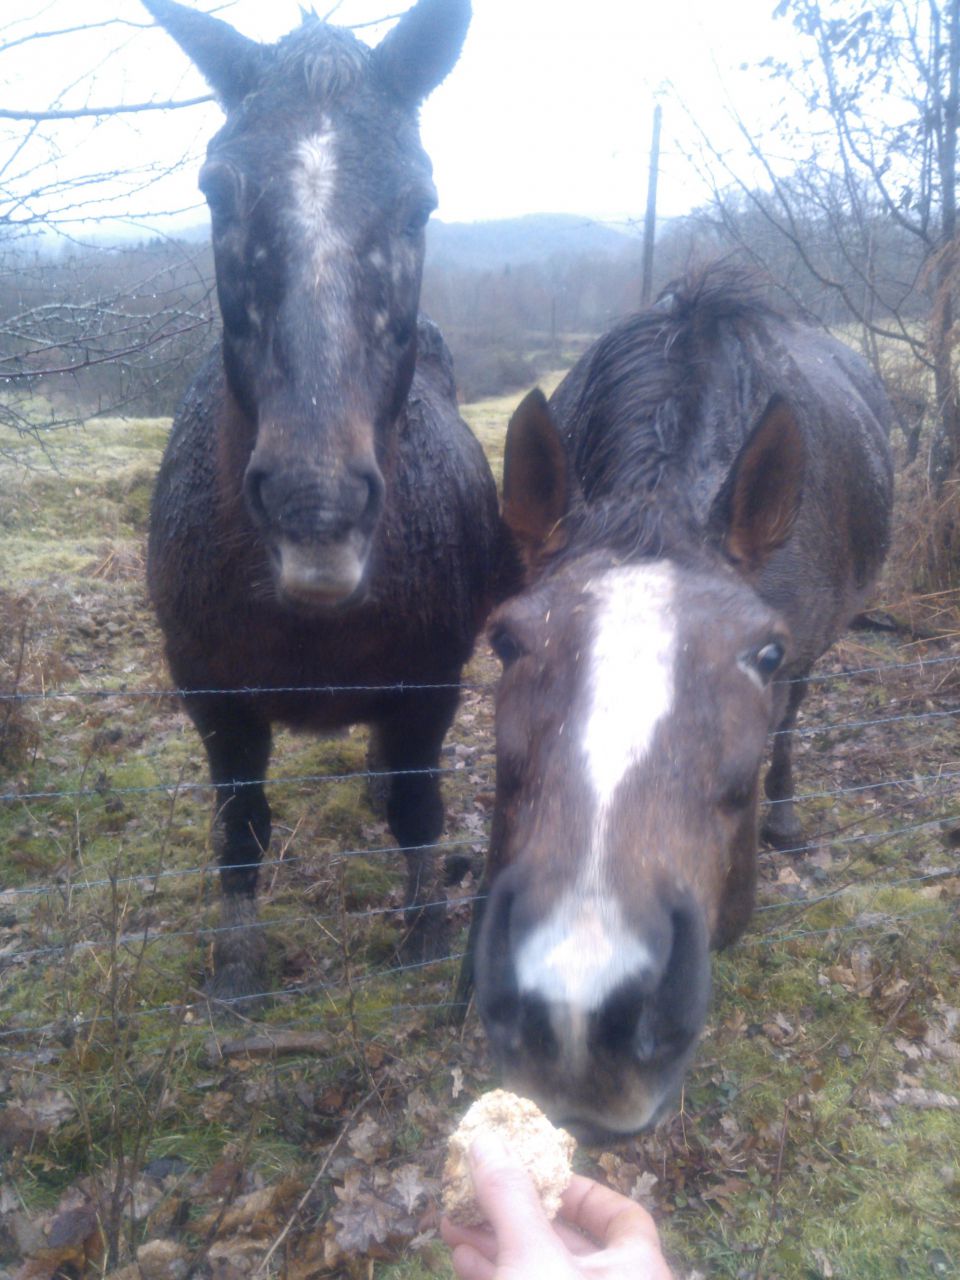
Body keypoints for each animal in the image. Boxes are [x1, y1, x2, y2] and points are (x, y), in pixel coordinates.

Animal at [143, 0, 502, 1001]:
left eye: (420, 203)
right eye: (217, 191)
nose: (318, 509)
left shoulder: (429, 688)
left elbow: (420, 812)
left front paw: (425, 934)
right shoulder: (214, 699)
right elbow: (240, 834)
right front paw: (237, 971)